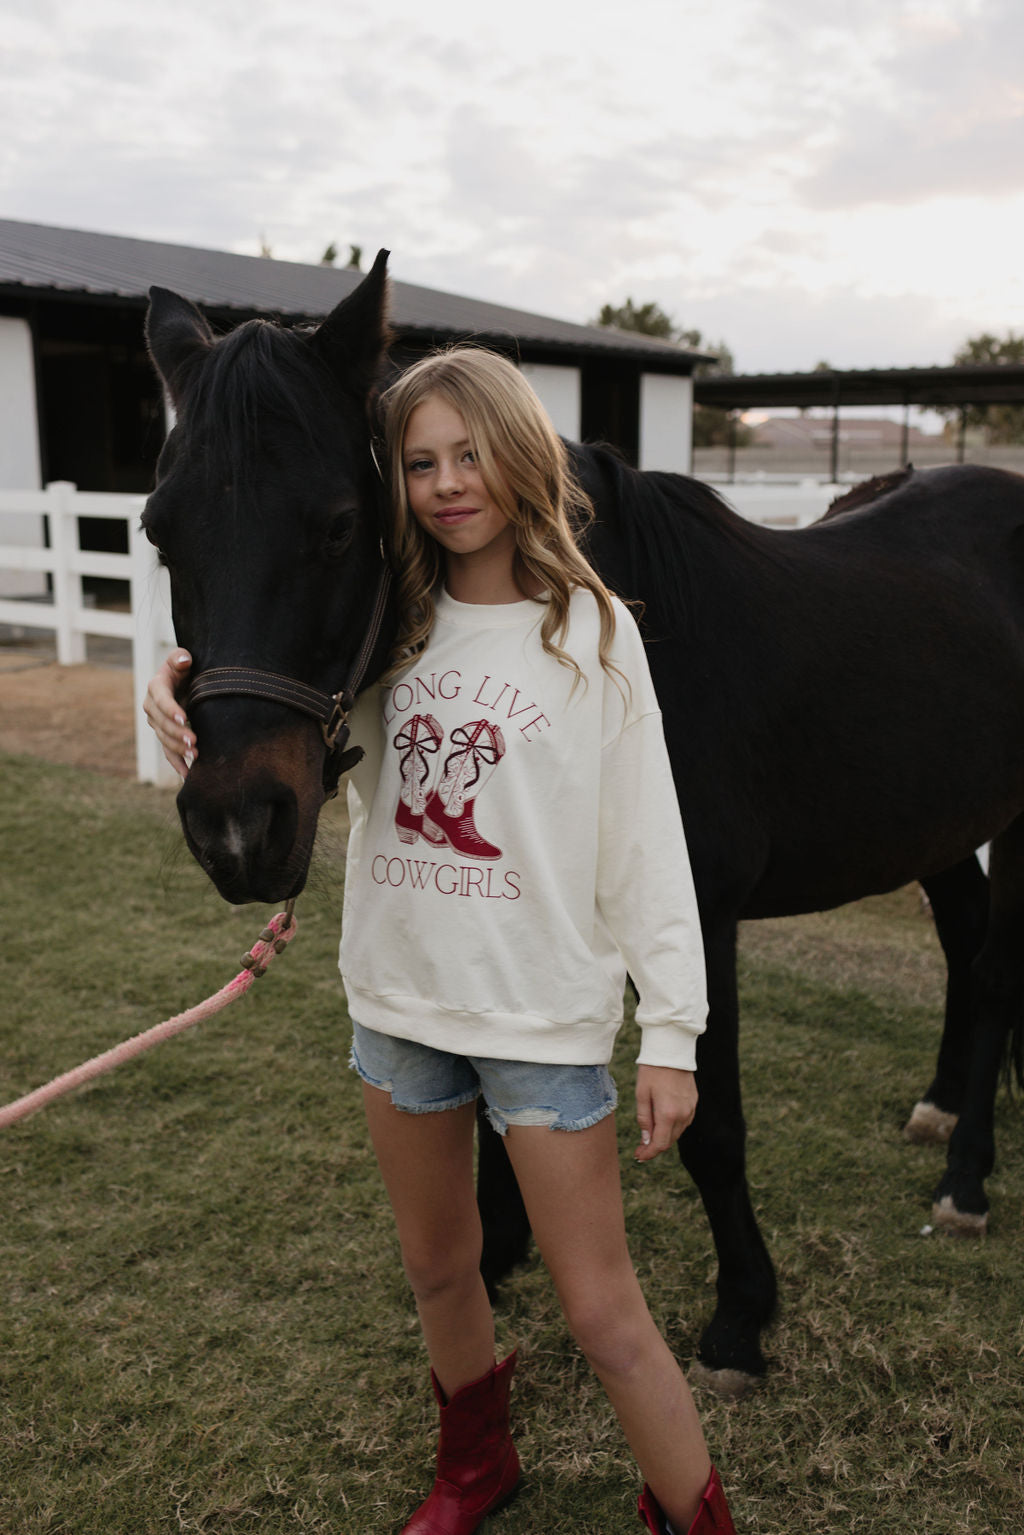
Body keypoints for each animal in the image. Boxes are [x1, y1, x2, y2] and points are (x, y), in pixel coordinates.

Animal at [142, 257, 1024, 1399]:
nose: (238, 826)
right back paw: (942, 1114)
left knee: (996, 968)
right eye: (159, 531)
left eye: (338, 522)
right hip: (937, 824)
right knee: (968, 947)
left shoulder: (696, 914)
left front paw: (741, 1315)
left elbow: (709, 1123)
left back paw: (966, 1180)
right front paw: (498, 1246)